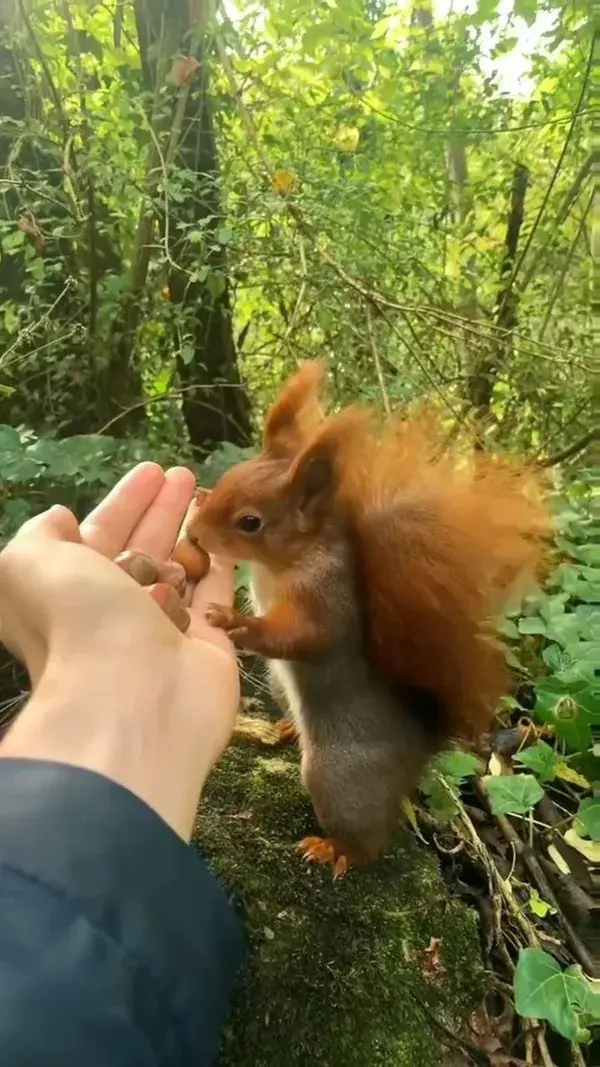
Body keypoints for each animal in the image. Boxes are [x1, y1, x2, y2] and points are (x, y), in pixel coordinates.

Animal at [181, 360, 546, 874]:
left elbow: (303, 637)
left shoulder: (327, 601)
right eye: (231, 475)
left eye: (250, 522)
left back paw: (334, 850)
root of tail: (419, 748)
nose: (194, 532)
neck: (286, 561)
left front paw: (236, 623)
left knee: (367, 839)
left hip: (338, 777)